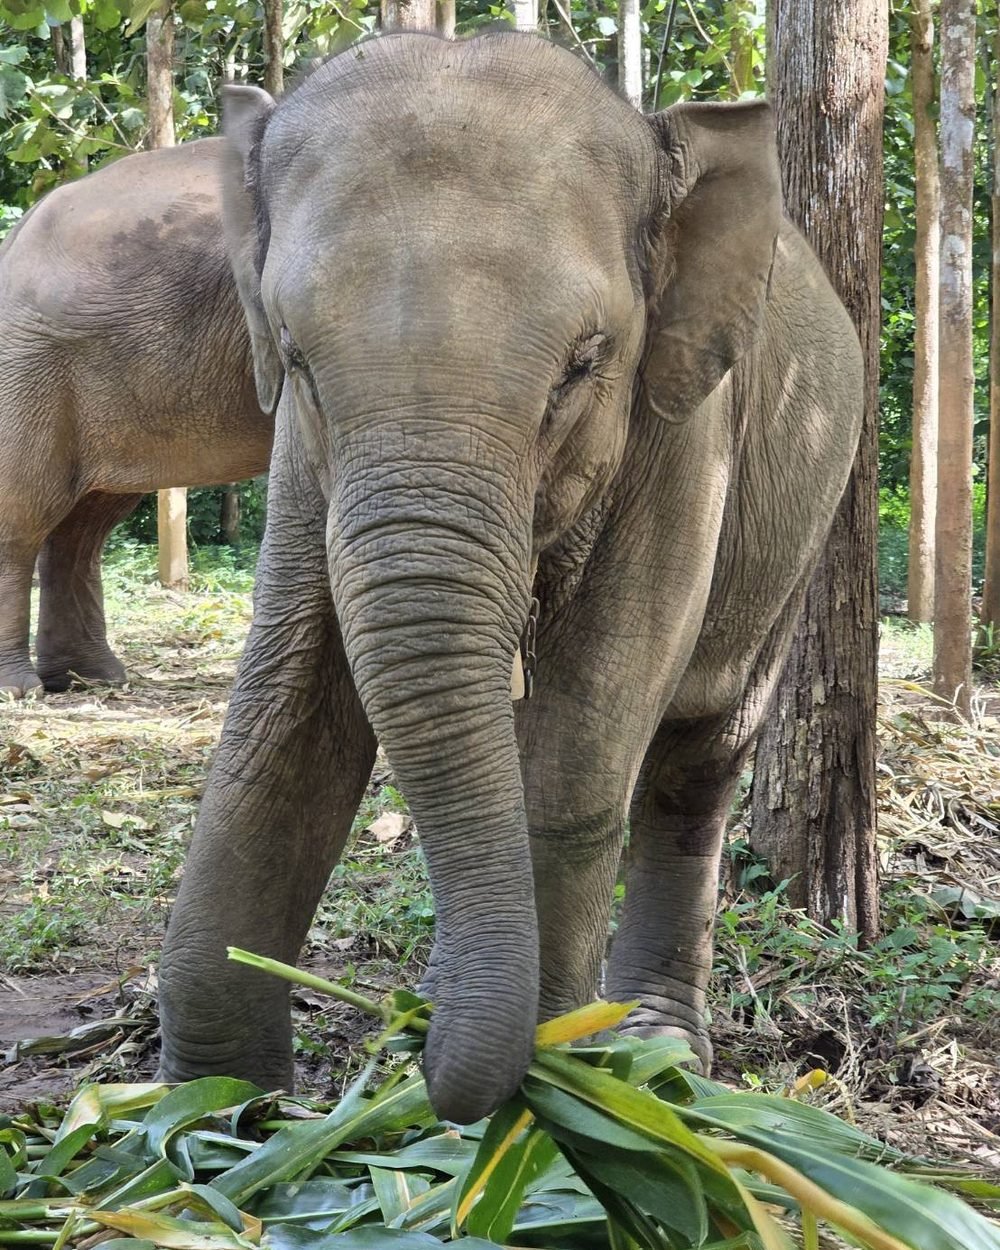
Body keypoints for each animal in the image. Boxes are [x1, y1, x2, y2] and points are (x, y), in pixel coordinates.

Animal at [158, 30, 863, 1126]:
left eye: (582, 362)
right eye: (295, 356)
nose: (417, 1057)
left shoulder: (687, 426)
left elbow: (582, 739)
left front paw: (547, 1092)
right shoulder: (304, 458)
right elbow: (287, 714)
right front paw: (209, 1113)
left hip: (808, 506)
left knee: (700, 755)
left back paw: (656, 1048)